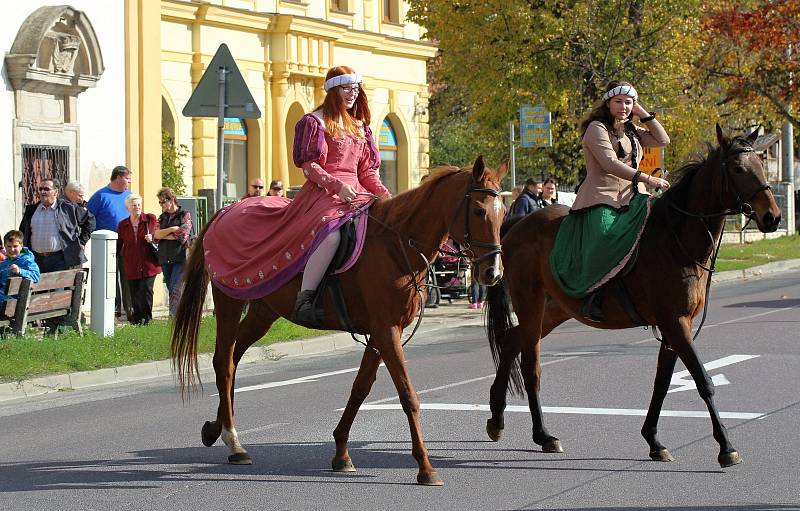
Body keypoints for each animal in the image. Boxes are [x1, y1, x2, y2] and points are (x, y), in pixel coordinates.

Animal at [170, 157, 506, 488]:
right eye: (479, 210)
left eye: (503, 212)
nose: (493, 272)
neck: (395, 245)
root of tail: (226, 210)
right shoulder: (386, 331)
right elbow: (407, 395)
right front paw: (425, 467)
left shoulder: (381, 333)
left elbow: (360, 388)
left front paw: (342, 453)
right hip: (230, 301)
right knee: (224, 363)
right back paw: (233, 442)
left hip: (263, 311)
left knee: (235, 356)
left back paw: (216, 429)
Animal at [484, 125, 780, 468]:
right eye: (737, 169)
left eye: (760, 165)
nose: (773, 217)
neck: (676, 239)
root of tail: (517, 225)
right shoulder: (675, 323)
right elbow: (703, 381)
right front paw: (726, 446)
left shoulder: (674, 328)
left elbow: (662, 383)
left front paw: (653, 440)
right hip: (531, 305)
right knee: (530, 366)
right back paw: (541, 433)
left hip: (553, 311)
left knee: (511, 343)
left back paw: (500, 419)